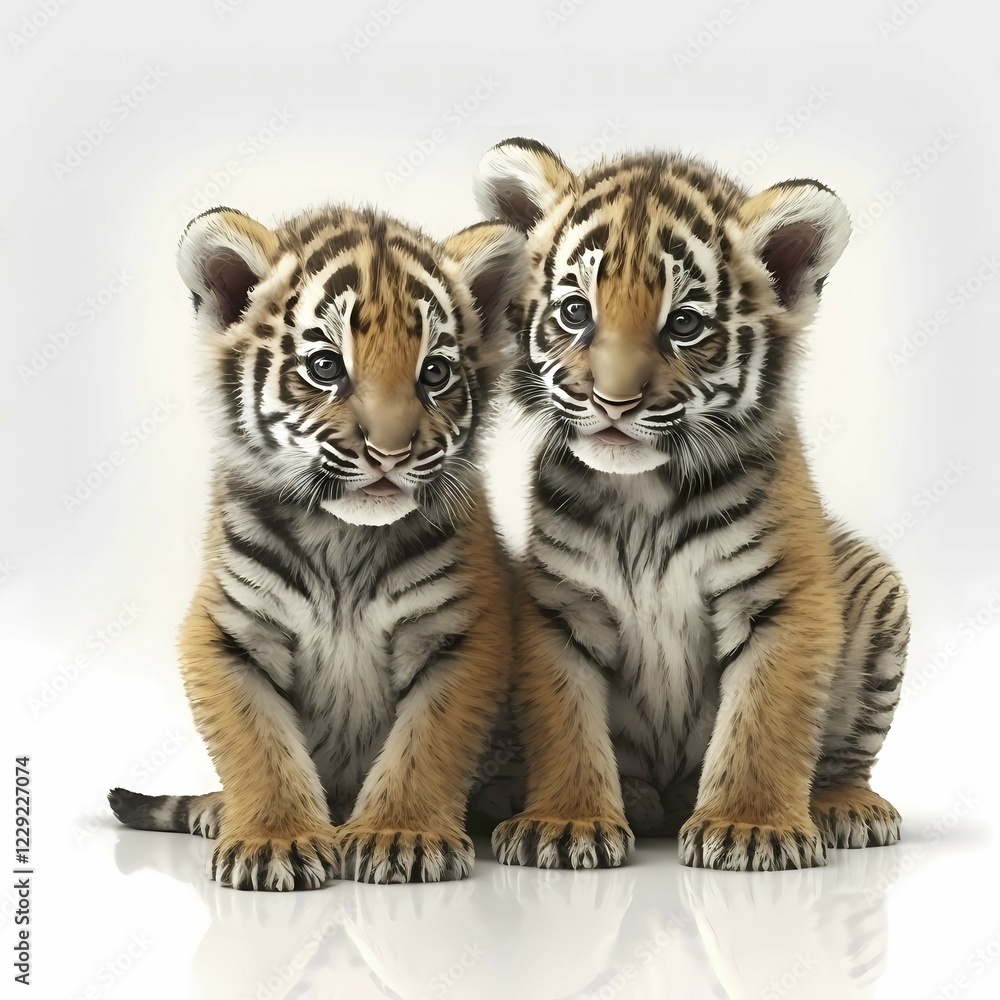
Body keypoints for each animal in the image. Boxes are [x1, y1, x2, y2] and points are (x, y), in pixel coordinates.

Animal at [108, 203, 527, 888]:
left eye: (434, 372)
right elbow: (257, 747)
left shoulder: (463, 629)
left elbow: (426, 744)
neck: (342, 538)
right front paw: (272, 841)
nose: (390, 453)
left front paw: (399, 835)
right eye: (327, 366)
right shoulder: (226, 632)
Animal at [474, 138, 910, 871]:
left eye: (683, 324)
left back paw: (844, 808)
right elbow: (564, 723)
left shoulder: (782, 597)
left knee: (845, 759)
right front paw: (563, 822)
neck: (642, 494)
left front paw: (751, 825)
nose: (614, 402)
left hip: (878, 591)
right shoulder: (561, 604)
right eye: (575, 312)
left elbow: (764, 719)